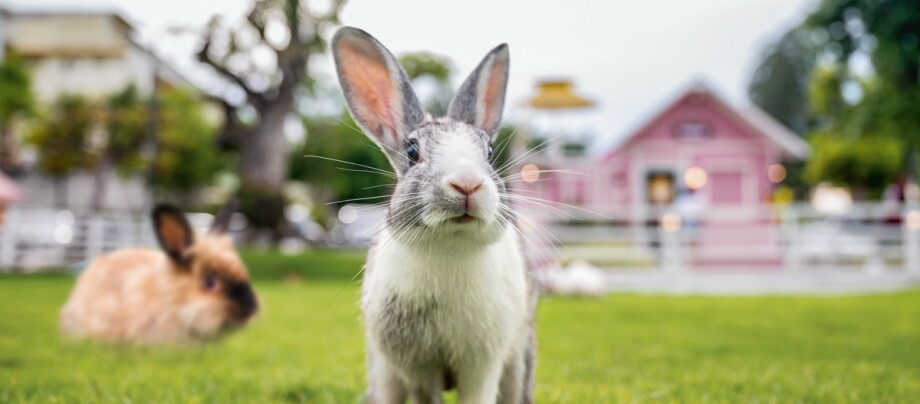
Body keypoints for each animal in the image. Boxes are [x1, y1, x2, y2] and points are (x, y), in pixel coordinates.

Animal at [330, 26, 536, 402]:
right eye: (413, 152)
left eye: (489, 151)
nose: (467, 183)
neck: (450, 246)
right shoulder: (417, 369)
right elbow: (427, 394)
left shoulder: (482, 366)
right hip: (382, 372)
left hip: (519, 357)